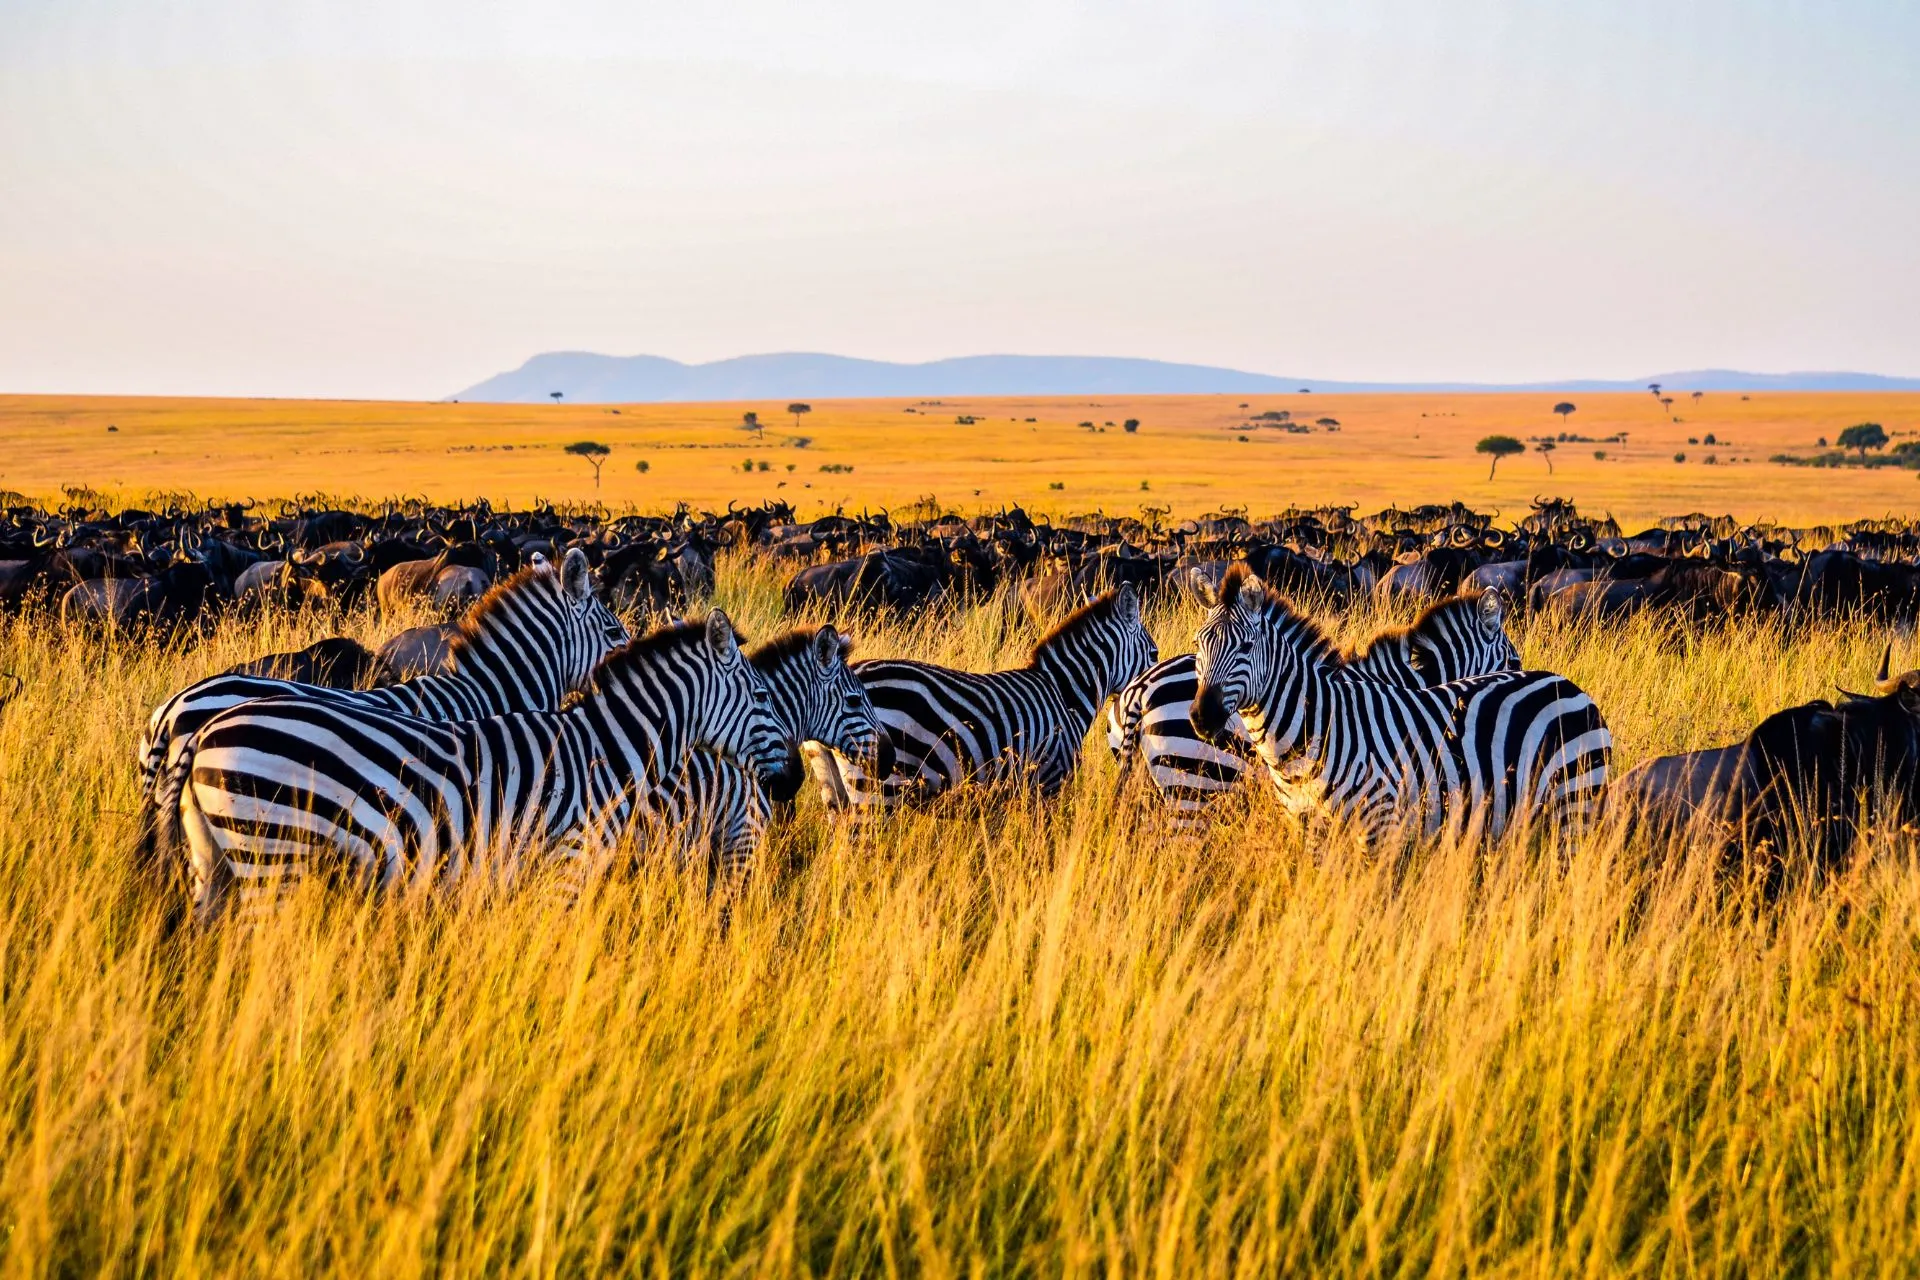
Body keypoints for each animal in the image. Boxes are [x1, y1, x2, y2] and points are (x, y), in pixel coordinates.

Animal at [175, 613, 797, 919]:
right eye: (764, 697)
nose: (792, 782)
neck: (607, 752)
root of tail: (204, 730)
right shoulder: (566, 866)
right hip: (272, 856)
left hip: (217, 862)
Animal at [1189, 566, 1610, 844]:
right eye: (1198, 644)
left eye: (1246, 647)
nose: (1202, 716)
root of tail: (1570, 684)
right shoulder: (1309, 829)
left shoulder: (1382, 825)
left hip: (1574, 805)